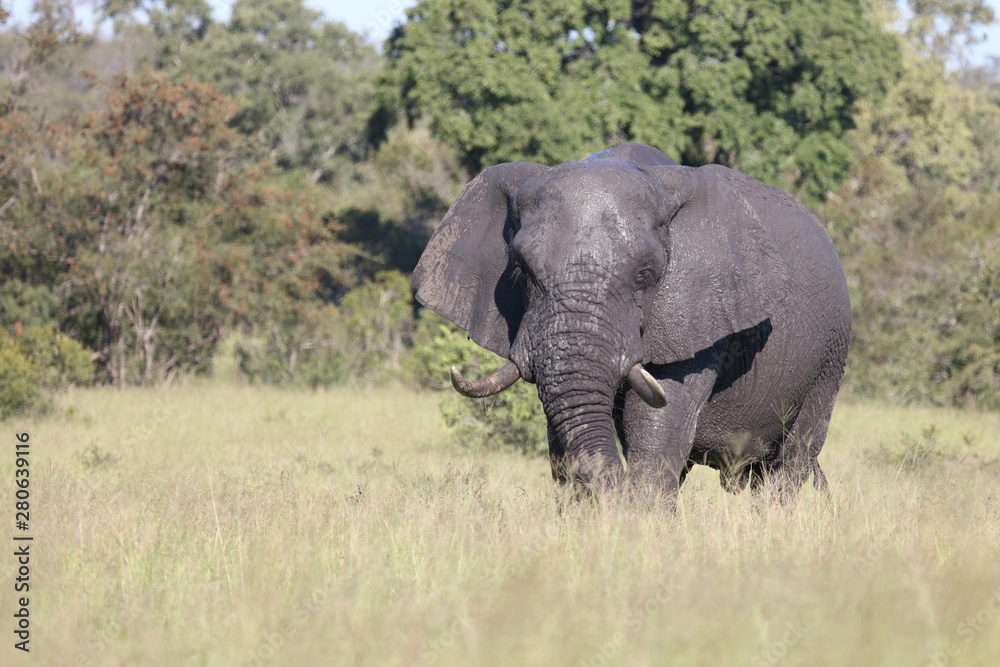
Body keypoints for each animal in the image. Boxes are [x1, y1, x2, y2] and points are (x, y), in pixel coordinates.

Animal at [410, 144, 848, 498]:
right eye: (519, 269)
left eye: (645, 275)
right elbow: (564, 433)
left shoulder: (697, 310)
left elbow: (659, 427)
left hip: (828, 359)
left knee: (791, 461)